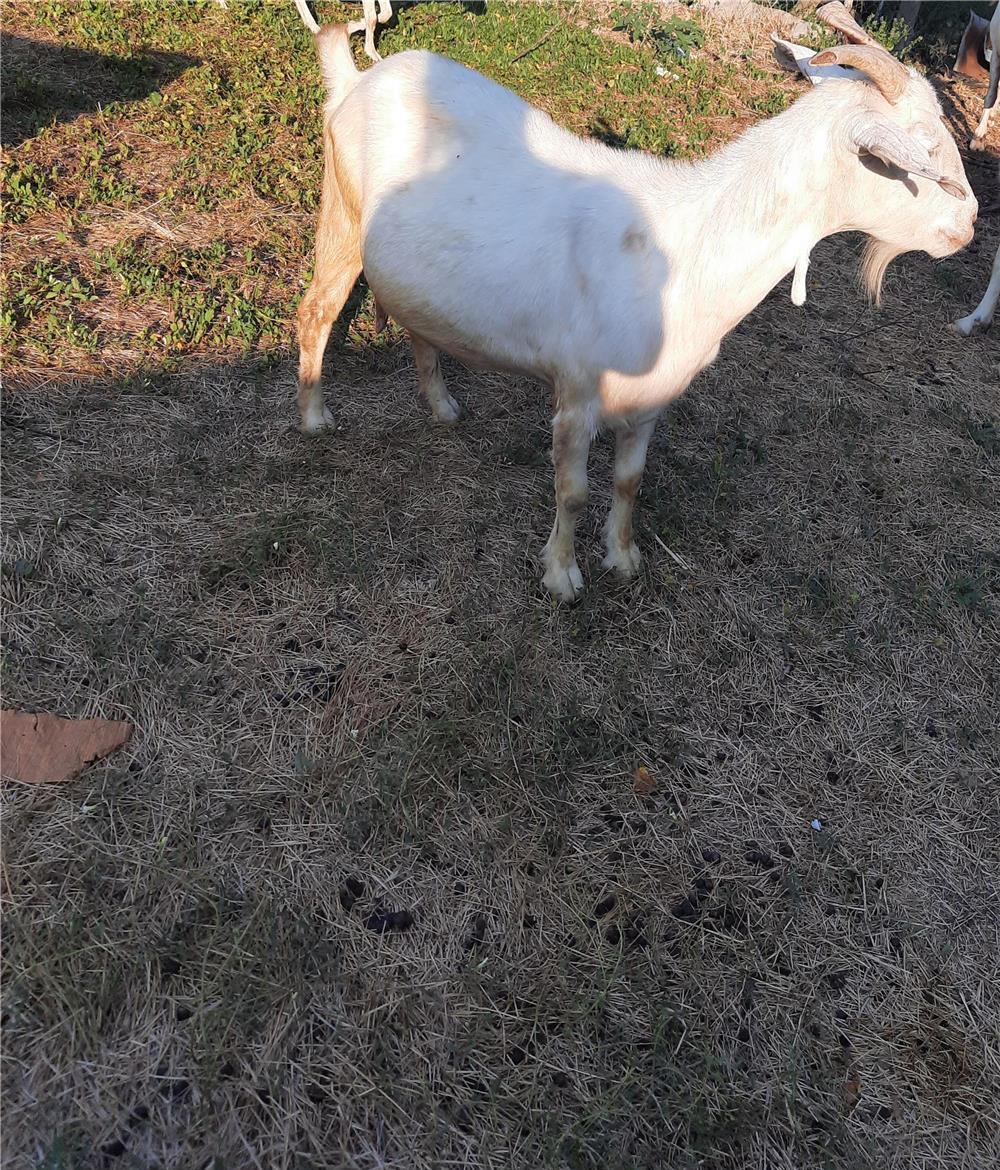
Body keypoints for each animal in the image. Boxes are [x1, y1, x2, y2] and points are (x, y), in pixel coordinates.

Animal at [296, 17, 976, 601]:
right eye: (921, 151)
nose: (969, 223)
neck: (683, 247)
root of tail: (356, 78)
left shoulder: (653, 395)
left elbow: (629, 481)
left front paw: (622, 559)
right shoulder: (575, 393)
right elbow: (571, 492)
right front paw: (562, 576)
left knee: (416, 324)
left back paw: (440, 405)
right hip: (342, 210)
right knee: (317, 310)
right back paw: (314, 415)